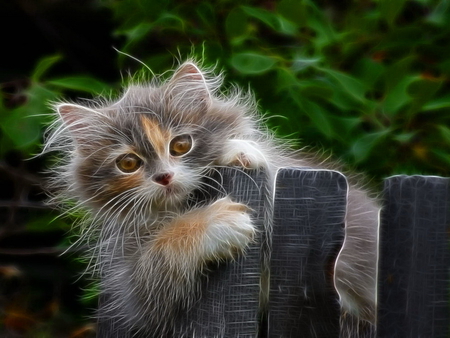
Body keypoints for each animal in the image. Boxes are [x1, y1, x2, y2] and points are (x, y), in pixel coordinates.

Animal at [43, 60, 380, 336]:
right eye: (128, 163)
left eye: (181, 145)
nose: (164, 176)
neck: (183, 205)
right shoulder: (132, 292)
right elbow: (159, 260)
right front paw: (213, 224)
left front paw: (237, 149)